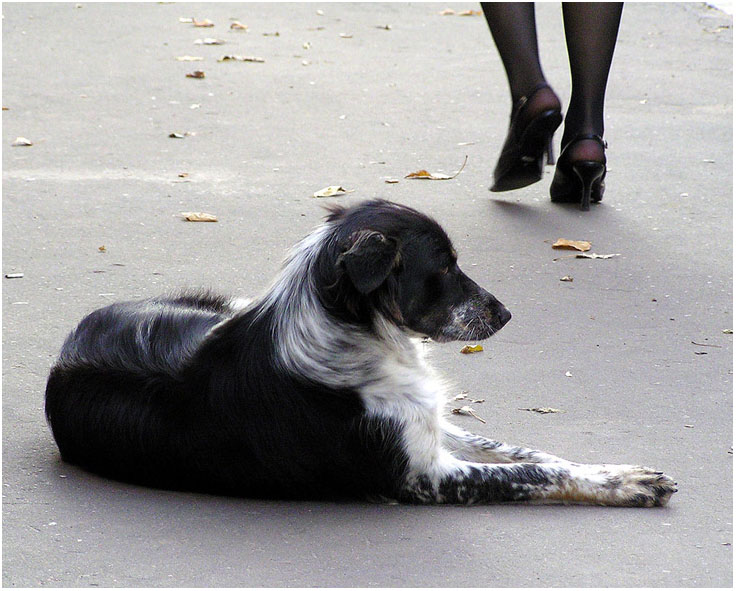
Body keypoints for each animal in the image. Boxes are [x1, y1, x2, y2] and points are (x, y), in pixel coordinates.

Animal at [46, 201, 676, 506]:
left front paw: (610, 468)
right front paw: (628, 486)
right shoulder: (423, 477)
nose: (505, 314)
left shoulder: (425, 424)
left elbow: (528, 452)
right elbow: (530, 474)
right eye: (444, 267)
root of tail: (66, 347)